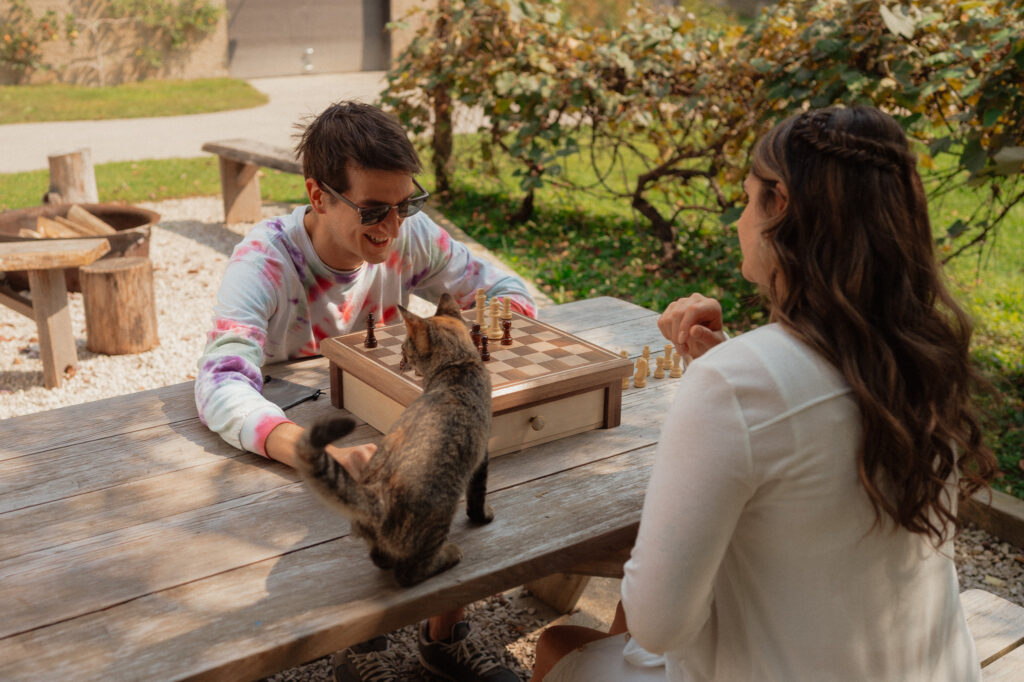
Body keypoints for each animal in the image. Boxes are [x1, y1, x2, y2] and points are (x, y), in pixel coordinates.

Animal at [294, 292, 493, 585]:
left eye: (406, 346)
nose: (401, 354)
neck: (457, 365)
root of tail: (374, 495)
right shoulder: (482, 456)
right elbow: (478, 495)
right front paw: (483, 516)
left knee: (380, 557)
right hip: (440, 512)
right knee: (408, 573)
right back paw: (449, 555)